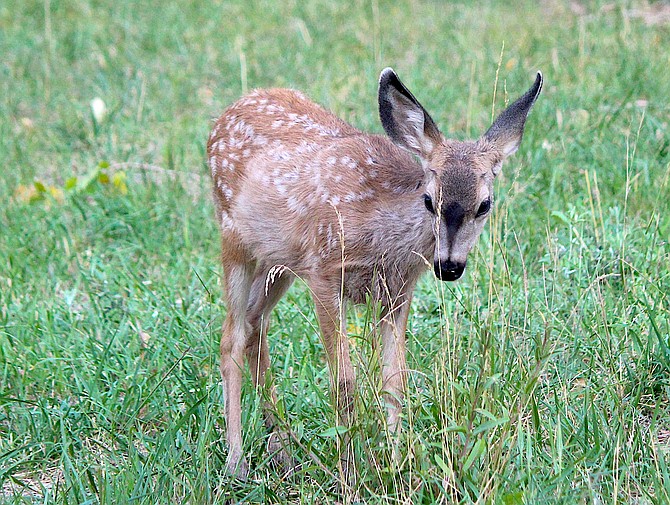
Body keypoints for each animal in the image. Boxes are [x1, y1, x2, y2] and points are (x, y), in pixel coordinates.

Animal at [207, 68, 544, 480]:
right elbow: (344, 384)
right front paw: (349, 472)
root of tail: (230, 109)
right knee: (232, 337)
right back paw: (236, 461)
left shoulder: (399, 291)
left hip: (277, 260)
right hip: (234, 239)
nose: (448, 267)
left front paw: (396, 461)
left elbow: (394, 381)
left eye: (485, 205)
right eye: (429, 200)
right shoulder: (323, 271)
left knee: (255, 325)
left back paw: (283, 448)